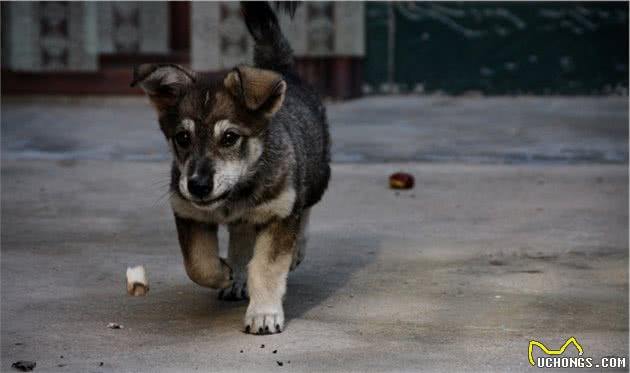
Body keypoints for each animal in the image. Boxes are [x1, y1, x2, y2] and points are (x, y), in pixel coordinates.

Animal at [131, 2, 334, 334]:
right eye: (182, 137)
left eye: (229, 137)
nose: (198, 186)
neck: (236, 194)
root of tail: (284, 72)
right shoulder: (188, 213)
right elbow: (197, 263)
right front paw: (225, 273)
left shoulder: (279, 213)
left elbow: (266, 267)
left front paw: (264, 314)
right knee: (241, 236)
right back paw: (236, 275)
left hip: (316, 178)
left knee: (305, 209)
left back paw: (296, 252)